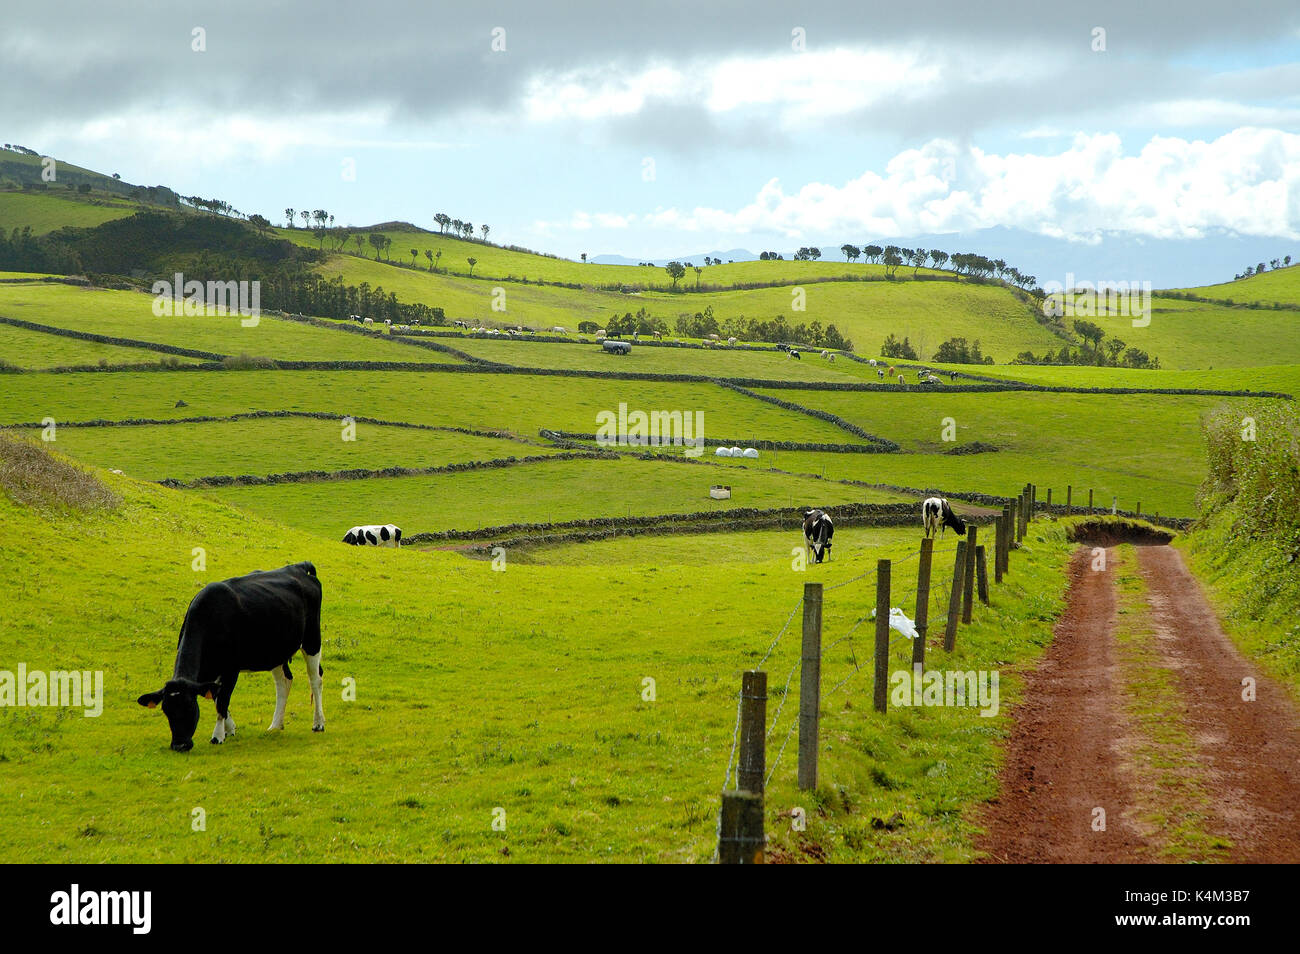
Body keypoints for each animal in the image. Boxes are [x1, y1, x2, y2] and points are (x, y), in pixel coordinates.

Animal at [137, 561, 325, 753]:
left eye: (189, 705)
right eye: (166, 710)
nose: (179, 745)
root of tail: (299, 566)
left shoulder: (231, 669)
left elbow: (222, 700)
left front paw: (218, 736)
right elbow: (217, 697)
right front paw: (229, 729)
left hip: (312, 640)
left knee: (315, 679)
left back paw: (318, 723)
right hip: (276, 651)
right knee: (284, 681)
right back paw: (275, 725)